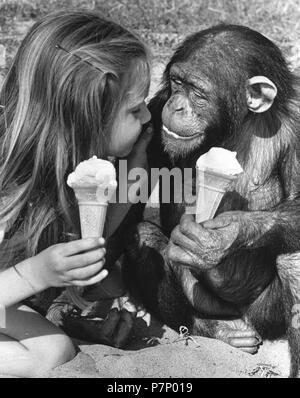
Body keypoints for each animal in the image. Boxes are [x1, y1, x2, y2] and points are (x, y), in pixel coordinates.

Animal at [120, 24, 300, 376]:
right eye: (177, 82)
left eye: (198, 93)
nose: (177, 106)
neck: (235, 124)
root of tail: (243, 320)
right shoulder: (154, 111)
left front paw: (219, 239)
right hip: (207, 303)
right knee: (142, 236)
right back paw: (212, 329)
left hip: (265, 314)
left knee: (292, 258)